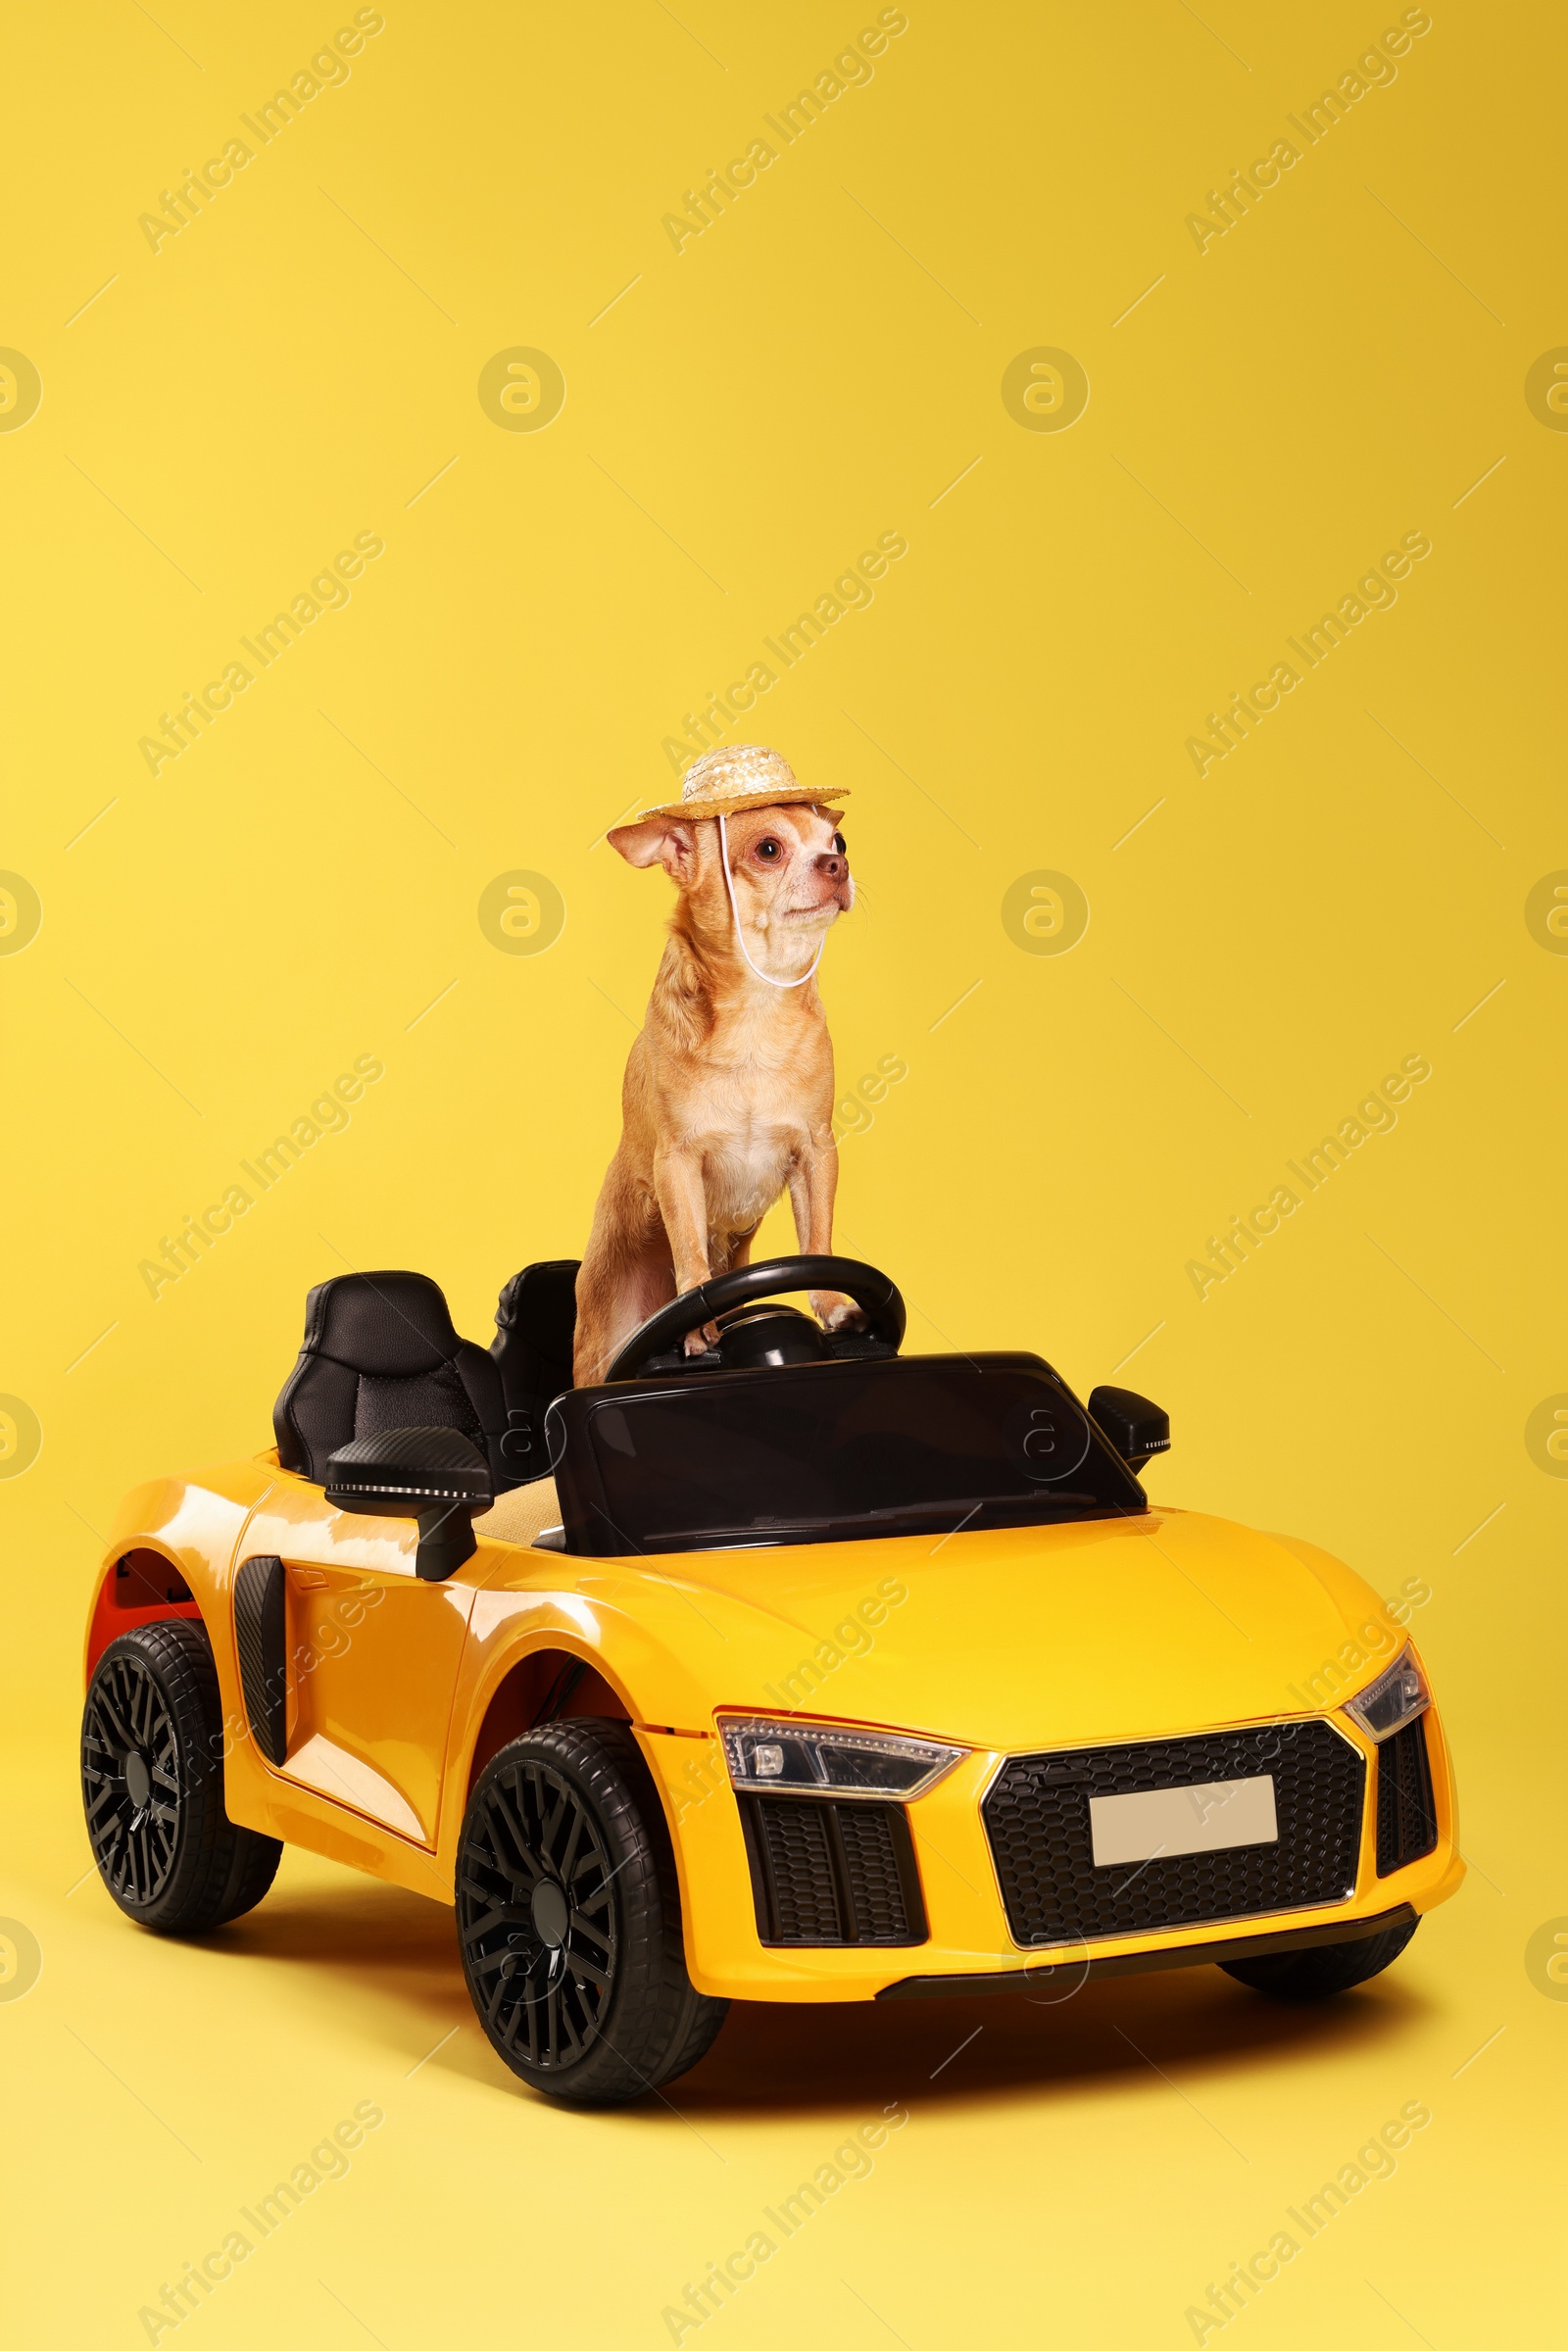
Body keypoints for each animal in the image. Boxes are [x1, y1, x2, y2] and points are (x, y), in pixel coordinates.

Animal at [575, 743, 864, 1382]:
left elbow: (818, 1237)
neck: (757, 1008)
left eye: (839, 843)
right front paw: (696, 1326)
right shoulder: (678, 1164)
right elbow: (689, 1249)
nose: (837, 865)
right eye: (768, 850)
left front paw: (833, 1303)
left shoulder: (816, 1151)